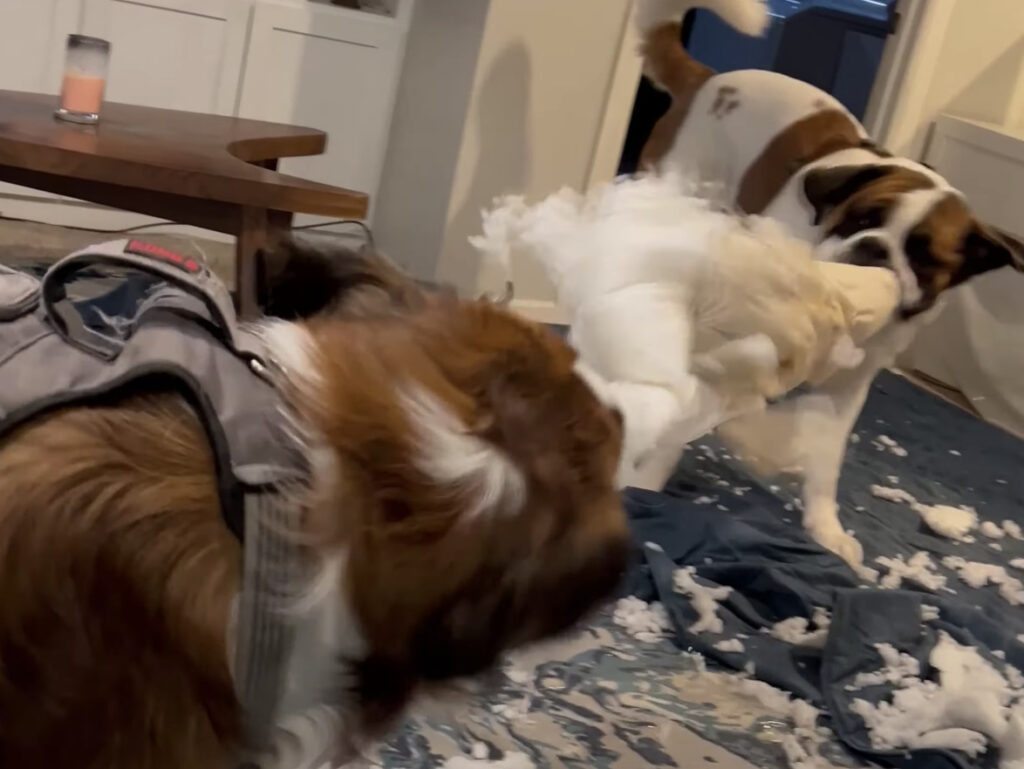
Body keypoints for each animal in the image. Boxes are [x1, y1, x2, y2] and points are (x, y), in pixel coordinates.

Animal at [633, 0, 1024, 567]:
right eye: (861, 218)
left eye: (923, 256)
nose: (874, 248)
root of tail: (709, 81)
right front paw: (646, 485)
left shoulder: (848, 387)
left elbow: (825, 457)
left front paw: (824, 529)